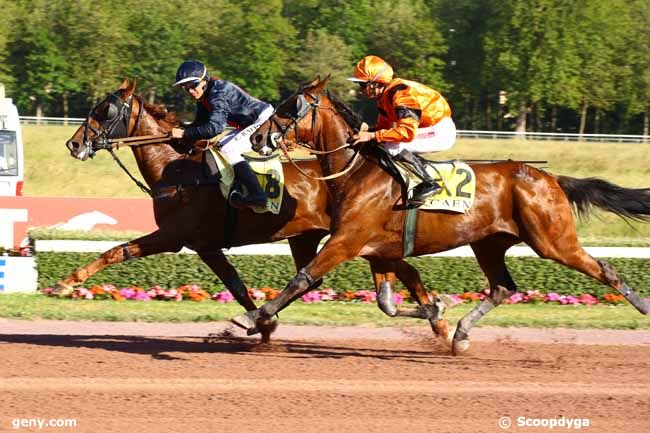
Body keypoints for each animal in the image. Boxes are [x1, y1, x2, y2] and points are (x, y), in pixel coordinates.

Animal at [62, 79, 446, 340]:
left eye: (105, 111)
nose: (74, 144)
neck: (178, 169)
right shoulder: (206, 246)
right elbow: (235, 285)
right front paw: (262, 324)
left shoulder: (175, 236)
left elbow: (117, 250)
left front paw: (69, 282)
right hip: (318, 236)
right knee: (390, 270)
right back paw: (439, 319)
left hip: (350, 235)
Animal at [233, 77, 648, 354]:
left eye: (289, 108)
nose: (256, 138)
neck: (356, 172)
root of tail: (551, 178)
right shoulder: (379, 250)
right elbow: (387, 303)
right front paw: (439, 308)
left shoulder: (346, 241)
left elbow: (303, 278)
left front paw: (253, 317)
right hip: (489, 242)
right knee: (502, 287)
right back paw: (461, 335)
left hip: (553, 240)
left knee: (603, 269)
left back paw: (643, 306)